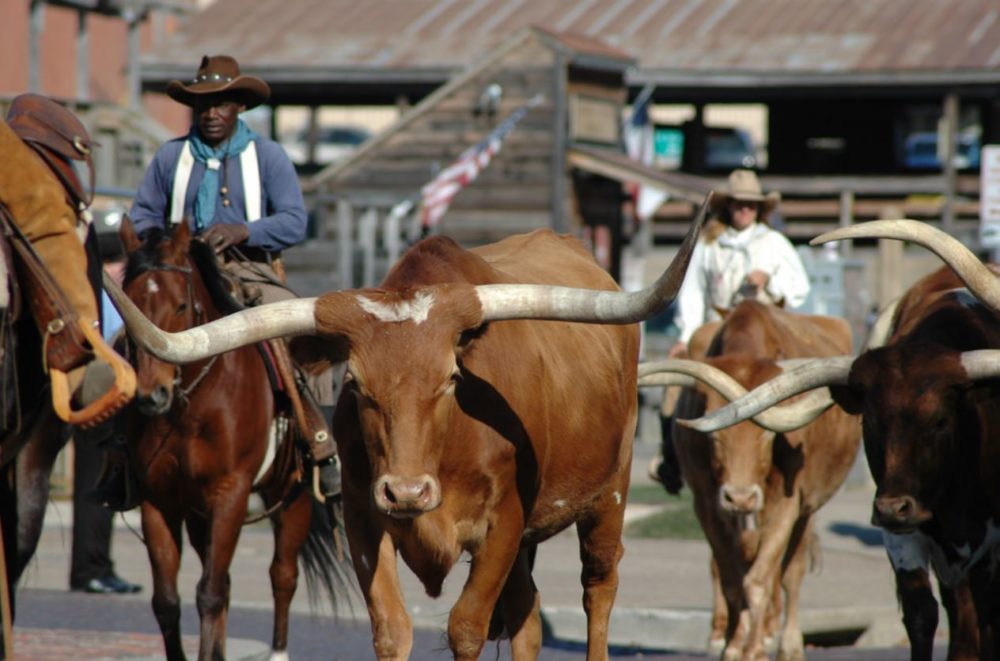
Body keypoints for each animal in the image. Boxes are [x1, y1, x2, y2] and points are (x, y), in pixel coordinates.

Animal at [117, 220, 348, 660]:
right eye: (131, 302)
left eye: (180, 306)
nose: (152, 396)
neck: (192, 404)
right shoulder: (159, 499)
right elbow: (168, 601)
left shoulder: (231, 492)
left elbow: (209, 593)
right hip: (197, 513)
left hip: (292, 495)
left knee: (282, 575)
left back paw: (278, 650)